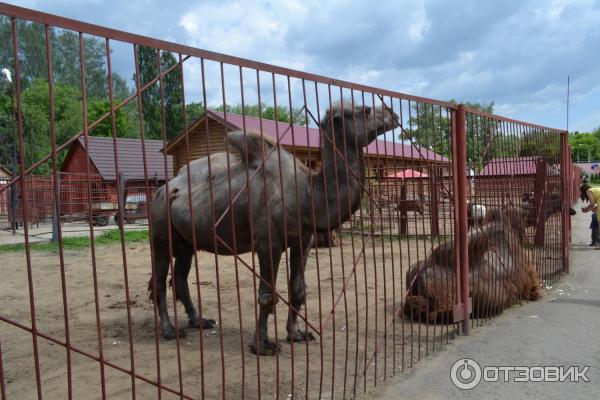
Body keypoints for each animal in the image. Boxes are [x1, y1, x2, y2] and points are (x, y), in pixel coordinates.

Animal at [149, 102, 398, 354]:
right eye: (365, 110)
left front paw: (297, 334)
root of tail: (162, 190)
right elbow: (267, 295)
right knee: (159, 281)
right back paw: (170, 330)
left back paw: (199, 321)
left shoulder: (304, 240)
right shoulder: (269, 242)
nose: (393, 114)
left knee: (179, 278)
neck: (307, 194)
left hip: (185, 243)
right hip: (160, 230)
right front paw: (263, 345)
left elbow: (298, 290)